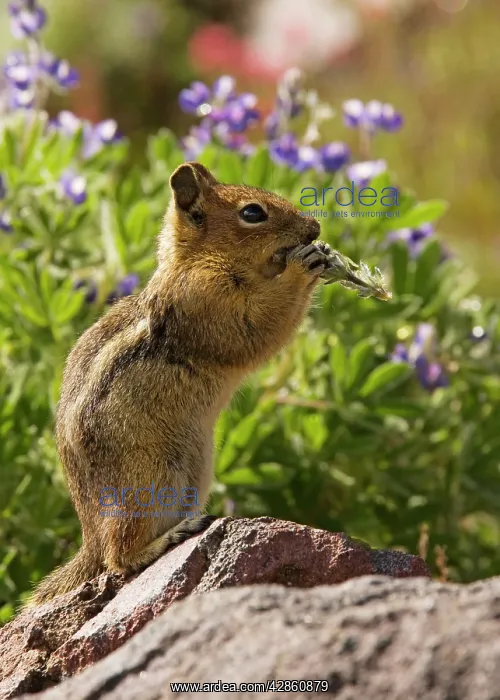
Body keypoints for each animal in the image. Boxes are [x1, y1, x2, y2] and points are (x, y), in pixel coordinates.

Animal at [25, 161, 329, 607]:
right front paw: (304, 265)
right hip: (149, 479)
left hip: (194, 473)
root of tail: (88, 537)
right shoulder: (207, 299)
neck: (199, 261)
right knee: (117, 558)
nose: (315, 227)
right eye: (252, 213)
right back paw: (167, 538)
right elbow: (257, 327)